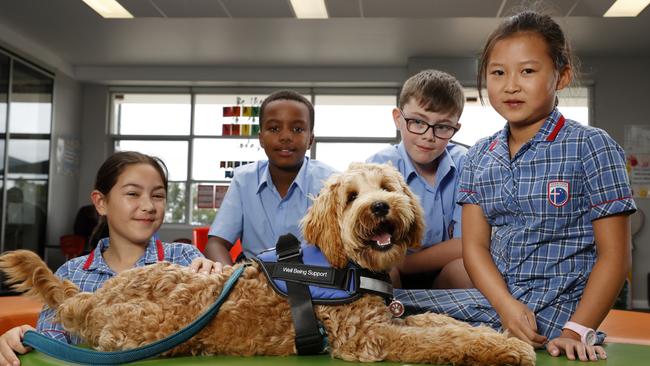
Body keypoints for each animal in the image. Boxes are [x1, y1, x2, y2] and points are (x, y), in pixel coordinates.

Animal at [0, 164, 532, 366]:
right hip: (145, 329)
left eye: (388, 187)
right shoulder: (370, 338)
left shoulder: (392, 318)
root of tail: (93, 299)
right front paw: (508, 349)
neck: (351, 264)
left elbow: (444, 323)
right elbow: (441, 340)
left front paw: (505, 336)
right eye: (352, 197)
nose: (381, 208)